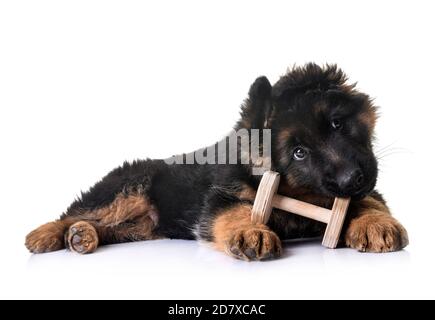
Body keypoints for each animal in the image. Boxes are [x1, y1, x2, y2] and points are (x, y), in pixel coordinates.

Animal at [26, 63, 408, 262]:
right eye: (299, 152)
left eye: (337, 124)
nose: (353, 179)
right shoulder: (221, 198)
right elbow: (234, 211)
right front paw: (251, 231)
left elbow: (370, 200)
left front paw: (376, 223)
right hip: (126, 189)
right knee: (78, 211)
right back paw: (48, 233)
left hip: (145, 227)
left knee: (112, 229)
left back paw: (83, 236)